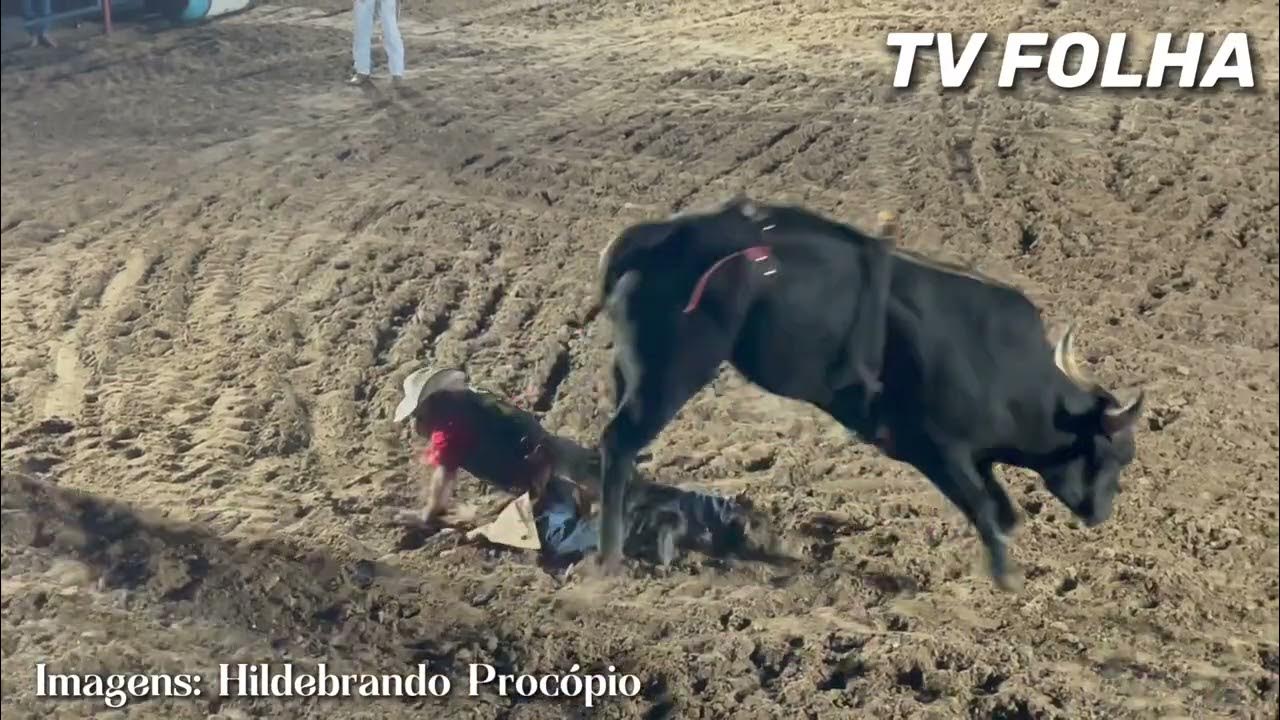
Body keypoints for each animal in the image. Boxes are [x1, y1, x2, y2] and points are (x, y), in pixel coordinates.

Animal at [593, 196, 1146, 589]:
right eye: (1111, 455)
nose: (1100, 514)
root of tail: (655, 236)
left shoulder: (971, 453)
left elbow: (1001, 506)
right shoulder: (936, 446)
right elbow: (984, 506)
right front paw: (1007, 577)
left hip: (631, 372)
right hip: (669, 374)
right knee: (618, 443)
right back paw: (609, 555)